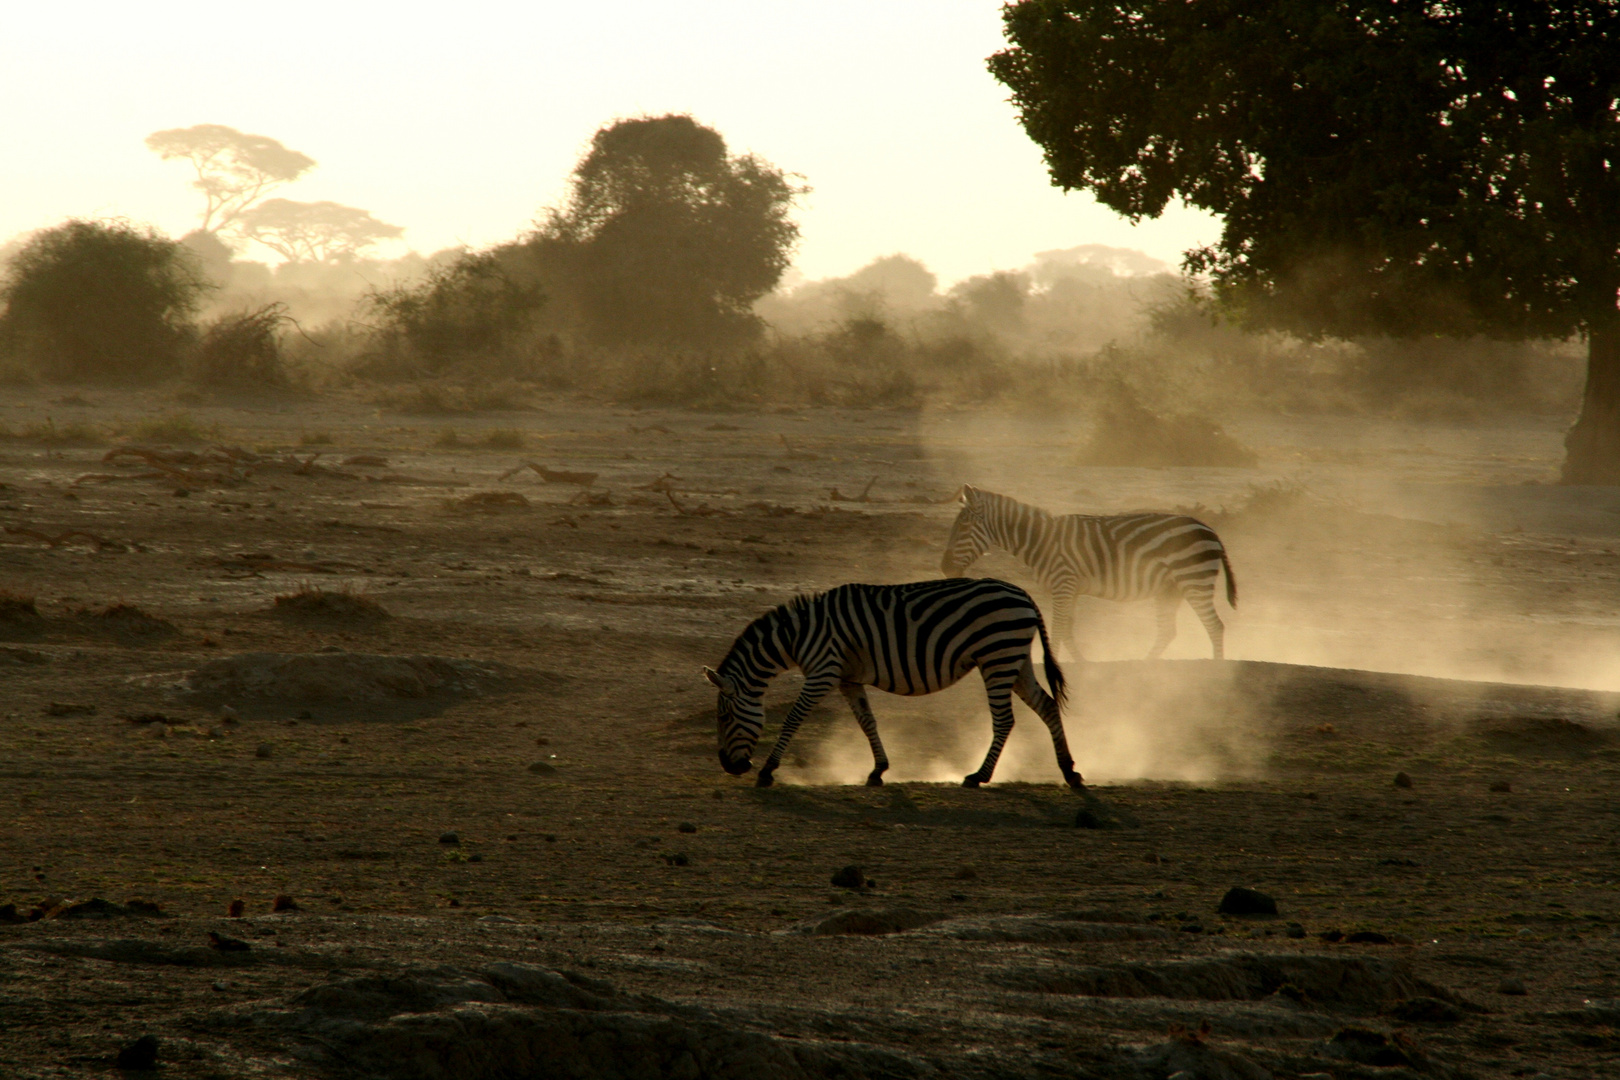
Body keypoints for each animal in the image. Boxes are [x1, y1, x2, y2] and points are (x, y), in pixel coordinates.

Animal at [703, 579, 1082, 790]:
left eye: (723, 717)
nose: (729, 767)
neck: (799, 636)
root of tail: (1023, 593)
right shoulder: (847, 678)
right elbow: (866, 721)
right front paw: (877, 770)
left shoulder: (823, 671)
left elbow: (794, 719)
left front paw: (768, 770)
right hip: (1013, 660)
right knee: (1047, 706)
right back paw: (1069, 770)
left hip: (996, 657)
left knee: (1005, 720)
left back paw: (978, 776)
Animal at [946, 488, 1231, 660]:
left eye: (963, 527)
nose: (946, 568)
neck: (1040, 540)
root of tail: (1210, 529)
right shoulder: (1069, 588)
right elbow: (1067, 629)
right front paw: (1080, 665)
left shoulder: (1062, 583)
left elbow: (1058, 628)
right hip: (1170, 588)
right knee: (1168, 631)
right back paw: (1144, 665)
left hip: (1194, 578)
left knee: (1215, 625)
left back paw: (1216, 667)